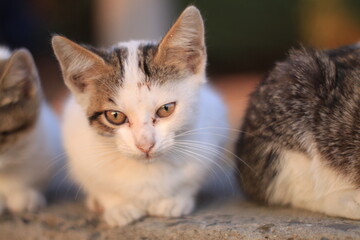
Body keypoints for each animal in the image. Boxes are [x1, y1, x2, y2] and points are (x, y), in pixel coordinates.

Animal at [52, 6, 229, 227]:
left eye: (166, 109)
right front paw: (118, 207)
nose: (145, 145)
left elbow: (191, 179)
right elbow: (98, 185)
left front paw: (174, 200)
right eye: (115, 116)